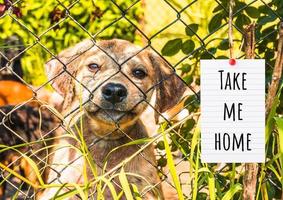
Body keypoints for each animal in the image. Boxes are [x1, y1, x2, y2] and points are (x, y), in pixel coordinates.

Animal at [40, 38, 186, 199]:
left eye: (139, 73)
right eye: (93, 66)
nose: (115, 91)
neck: (106, 138)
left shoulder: (145, 189)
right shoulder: (62, 186)